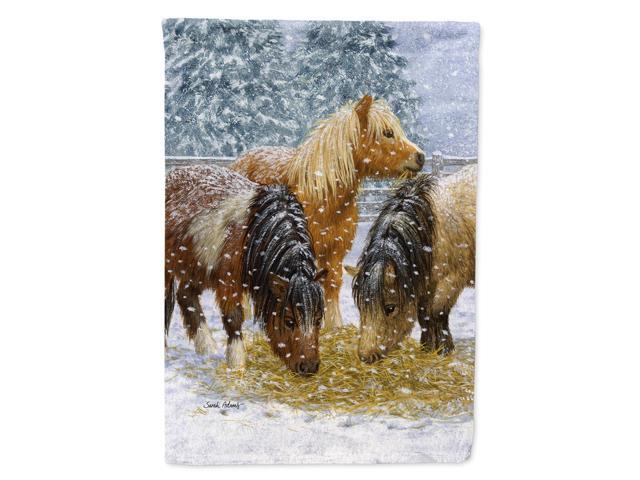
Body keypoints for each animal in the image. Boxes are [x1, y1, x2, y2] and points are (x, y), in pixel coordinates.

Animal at [165, 165, 327, 374]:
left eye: (318, 320)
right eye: (289, 321)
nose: (309, 367)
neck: (253, 230)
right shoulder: (228, 282)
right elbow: (233, 318)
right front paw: (237, 363)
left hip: (196, 269)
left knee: (186, 297)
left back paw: (207, 349)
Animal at [231, 94, 425, 330]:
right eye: (387, 133)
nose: (420, 157)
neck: (322, 195)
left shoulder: (335, 251)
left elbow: (332, 282)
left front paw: (333, 325)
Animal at [346, 165, 476, 363]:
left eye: (390, 308)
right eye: (361, 306)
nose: (366, 357)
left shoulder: (450, 282)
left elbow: (437, 313)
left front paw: (444, 351)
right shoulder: (424, 285)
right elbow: (424, 316)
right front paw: (427, 349)